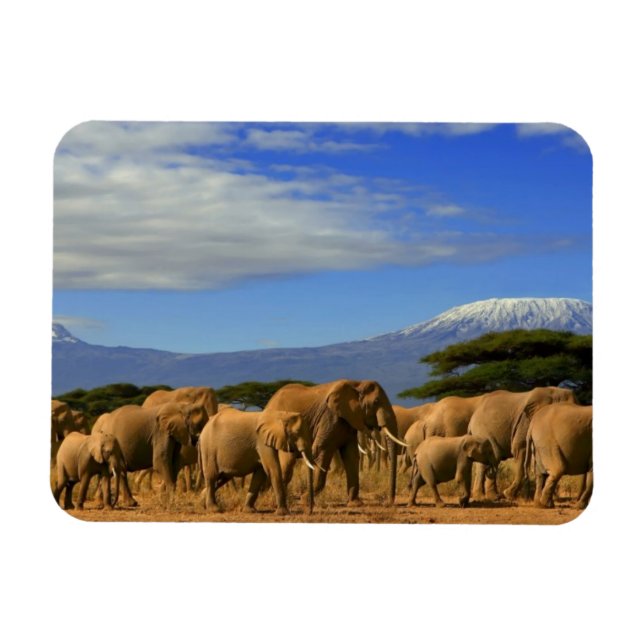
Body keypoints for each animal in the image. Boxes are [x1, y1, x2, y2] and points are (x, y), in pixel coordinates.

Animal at [264, 379, 406, 506]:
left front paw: (355, 504)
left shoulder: (349, 421)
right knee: (287, 463)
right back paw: (274, 502)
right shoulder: (330, 418)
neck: (357, 384)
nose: (388, 503)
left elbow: (351, 455)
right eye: (376, 402)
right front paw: (305, 501)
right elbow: (322, 451)